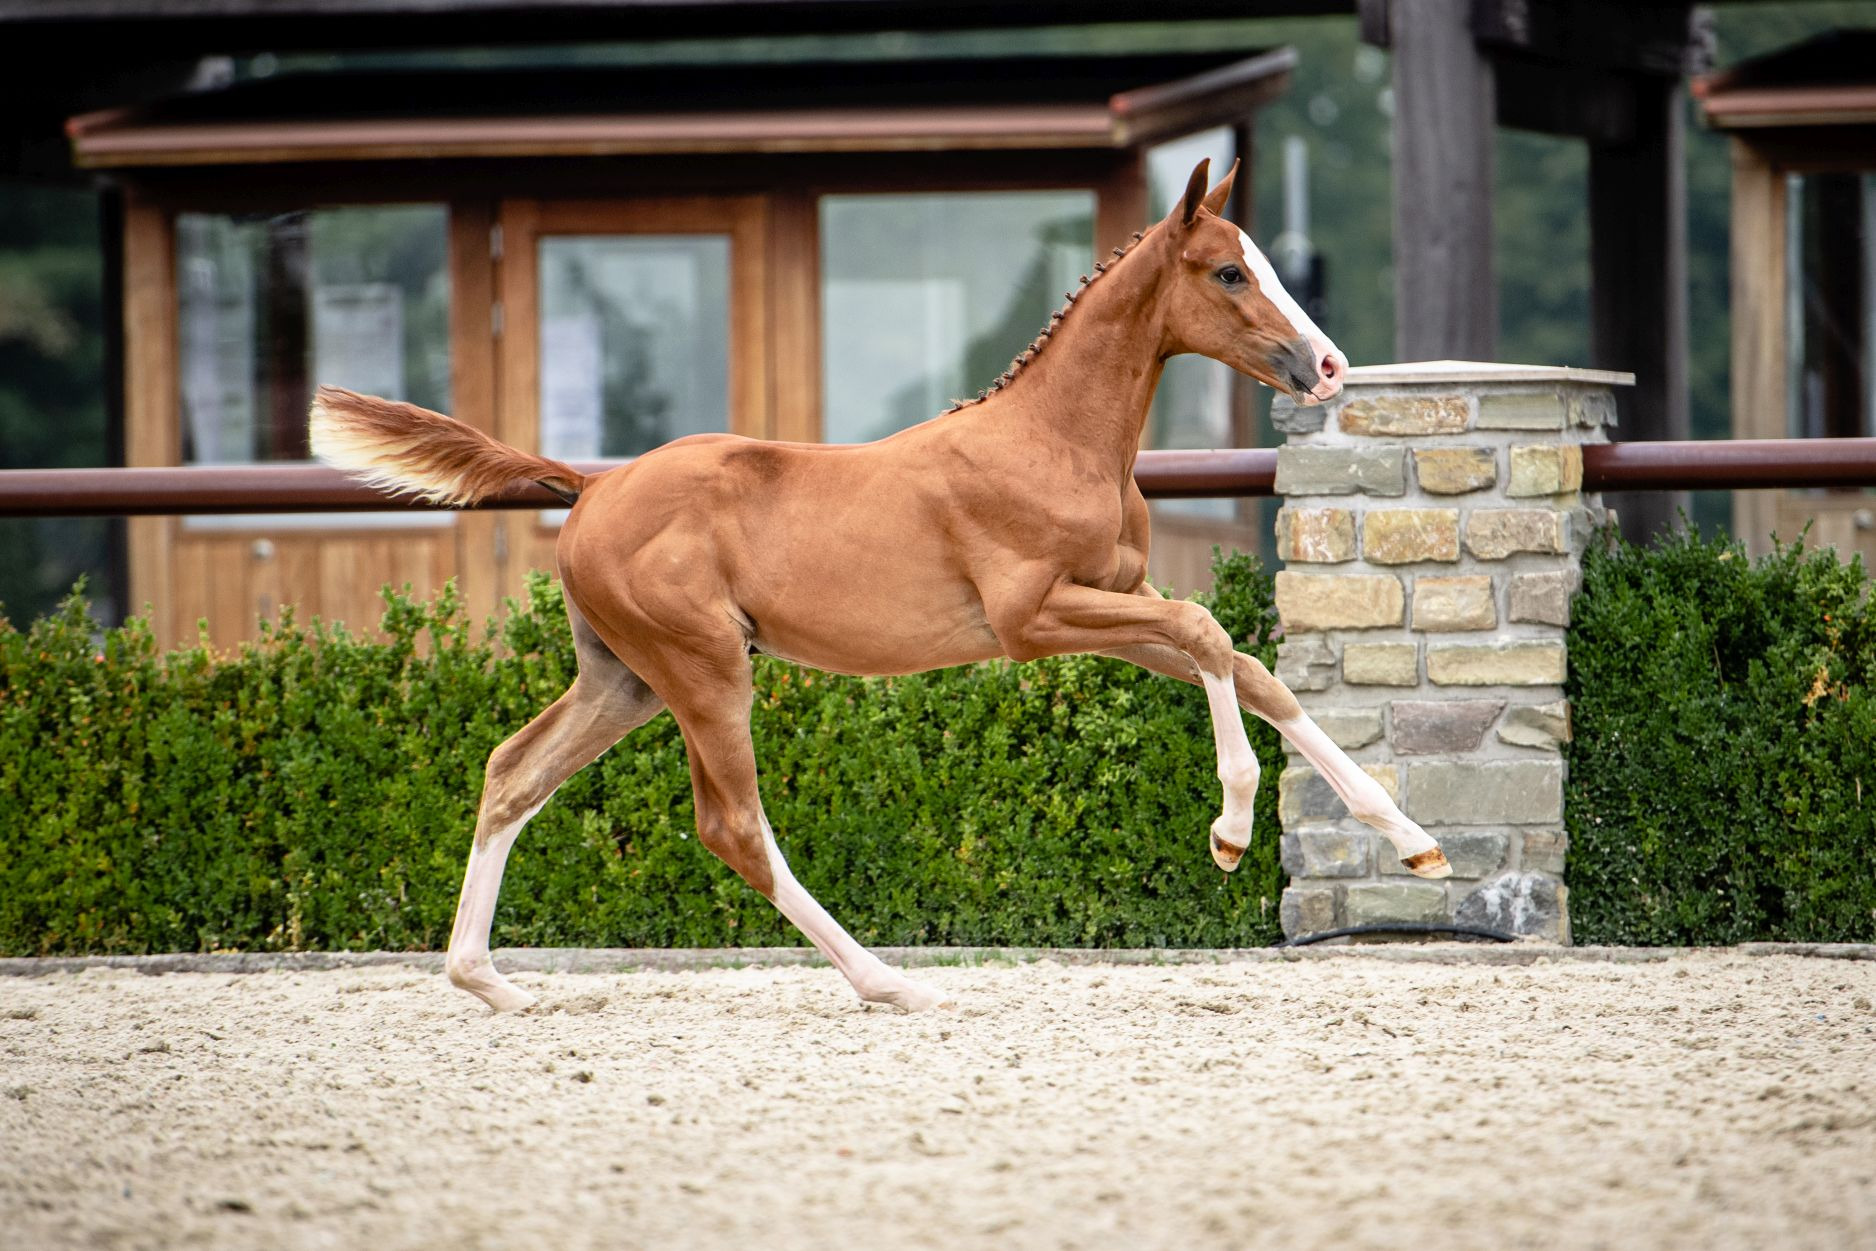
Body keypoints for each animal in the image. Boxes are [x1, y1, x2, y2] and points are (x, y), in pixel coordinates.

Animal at [310, 159, 1450, 1015]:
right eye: (1225, 273)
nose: (1328, 367)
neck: (1051, 440)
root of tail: (591, 486)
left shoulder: (1104, 613)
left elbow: (1249, 667)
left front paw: (1416, 845)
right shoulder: (1032, 619)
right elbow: (1209, 630)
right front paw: (1230, 831)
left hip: (623, 679)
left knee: (514, 771)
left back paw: (488, 980)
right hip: (704, 668)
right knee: (731, 826)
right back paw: (890, 981)